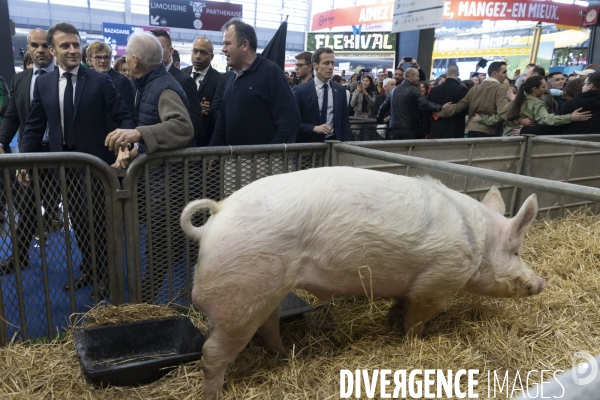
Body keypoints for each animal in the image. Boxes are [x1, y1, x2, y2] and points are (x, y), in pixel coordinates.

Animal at [180, 166, 548, 396]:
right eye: (516, 251)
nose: (542, 282)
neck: (477, 243)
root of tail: (213, 220)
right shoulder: (437, 281)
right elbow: (417, 319)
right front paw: (414, 341)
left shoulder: (410, 287)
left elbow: (400, 306)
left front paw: (390, 323)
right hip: (239, 297)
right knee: (212, 352)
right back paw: (215, 393)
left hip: (267, 291)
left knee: (268, 326)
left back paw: (287, 356)